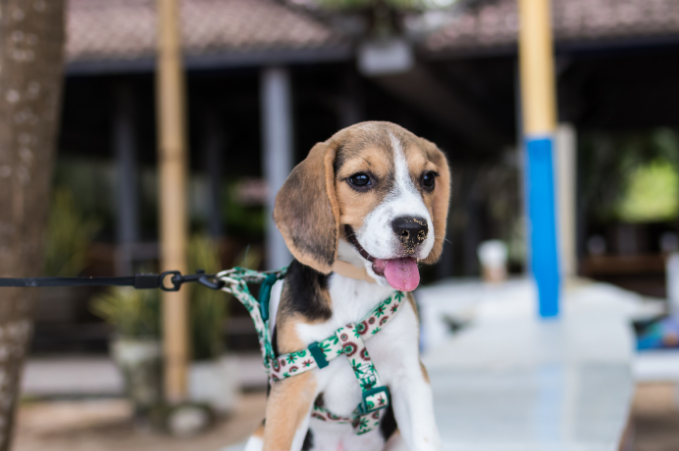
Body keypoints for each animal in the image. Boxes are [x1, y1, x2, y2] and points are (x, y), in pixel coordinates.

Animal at [246, 122, 452, 450]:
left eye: (428, 179)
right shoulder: (292, 388)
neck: (356, 283)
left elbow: (425, 439)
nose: (415, 229)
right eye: (361, 179)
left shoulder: (410, 377)